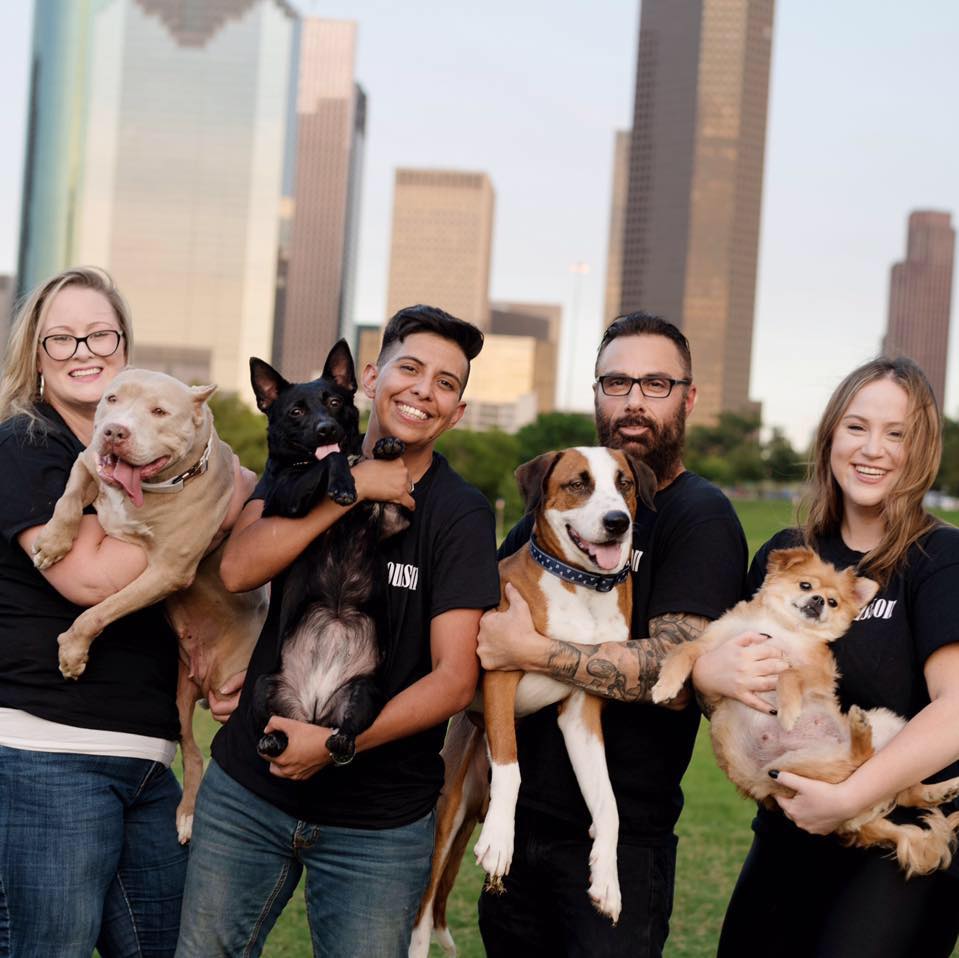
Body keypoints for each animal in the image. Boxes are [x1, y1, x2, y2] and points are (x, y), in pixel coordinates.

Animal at [33, 368, 268, 840]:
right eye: (111, 399)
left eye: (159, 412)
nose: (113, 431)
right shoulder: (86, 462)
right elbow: (67, 497)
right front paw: (53, 541)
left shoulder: (167, 571)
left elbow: (98, 612)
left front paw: (72, 653)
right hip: (179, 698)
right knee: (193, 753)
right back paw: (188, 815)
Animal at [249, 342, 406, 768]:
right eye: (296, 412)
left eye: (335, 402)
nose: (326, 430)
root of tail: (314, 710)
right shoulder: (288, 495)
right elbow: (331, 460)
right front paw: (344, 480)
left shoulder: (393, 519)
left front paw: (386, 448)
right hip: (266, 684)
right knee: (273, 727)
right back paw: (271, 742)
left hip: (364, 692)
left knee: (346, 730)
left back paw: (341, 743)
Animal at [408, 446, 656, 956]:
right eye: (579, 483)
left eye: (623, 483)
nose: (618, 521)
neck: (580, 587)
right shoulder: (501, 671)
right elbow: (511, 765)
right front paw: (501, 841)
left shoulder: (584, 708)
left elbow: (608, 802)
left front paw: (607, 879)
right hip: (446, 819)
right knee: (420, 918)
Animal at [652, 548, 959, 876]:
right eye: (806, 585)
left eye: (834, 602)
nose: (819, 600)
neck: (782, 628)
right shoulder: (713, 647)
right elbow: (684, 651)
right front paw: (664, 685)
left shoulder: (818, 673)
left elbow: (790, 673)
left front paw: (787, 710)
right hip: (790, 769)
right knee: (895, 784)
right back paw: (939, 790)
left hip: (865, 735)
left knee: (868, 763)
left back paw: (865, 733)